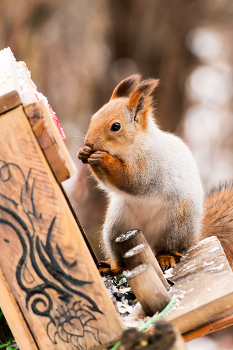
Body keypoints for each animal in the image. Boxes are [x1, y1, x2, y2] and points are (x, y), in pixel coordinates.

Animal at [78, 74, 233, 274]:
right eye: (93, 118)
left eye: (115, 126)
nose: (88, 143)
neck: (134, 146)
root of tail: (195, 236)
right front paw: (83, 153)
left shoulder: (151, 166)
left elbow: (131, 180)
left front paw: (103, 158)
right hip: (117, 228)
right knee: (122, 261)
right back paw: (111, 269)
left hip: (175, 225)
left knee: (168, 247)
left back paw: (165, 257)